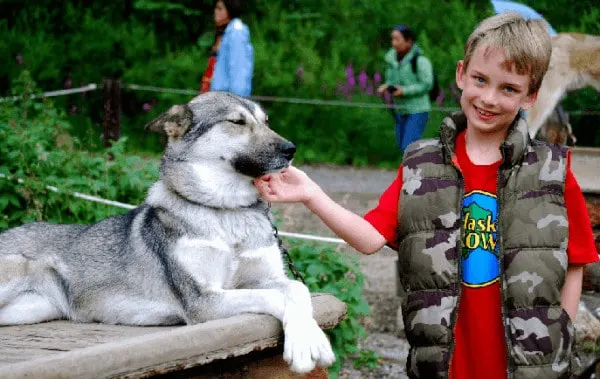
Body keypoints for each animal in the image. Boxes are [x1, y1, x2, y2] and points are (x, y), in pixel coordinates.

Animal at [0, 92, 336, 374]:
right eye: (237, 122)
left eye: (266, 121)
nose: (291, 149)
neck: (226, 212)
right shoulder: (203, 301)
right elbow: (274, 297)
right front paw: (306, 346)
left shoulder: (267, 278)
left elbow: (297, 290)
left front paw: (312, 337)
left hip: (31, 310)